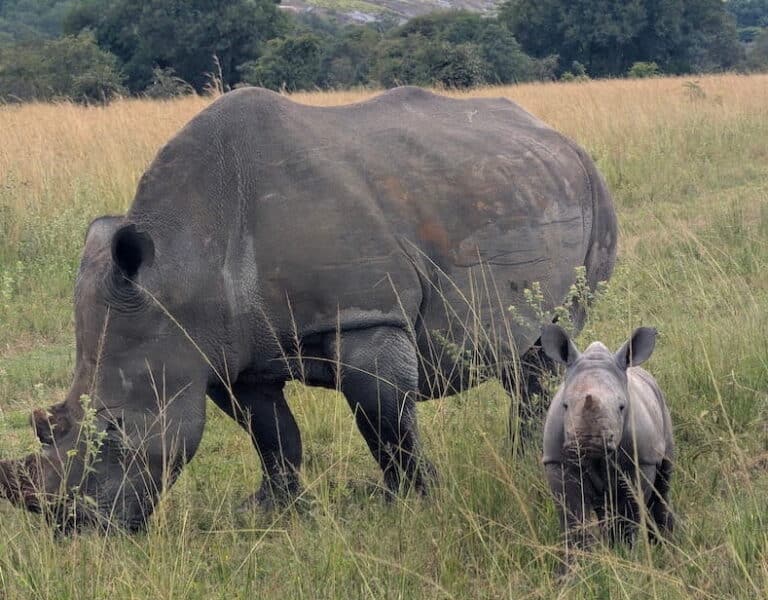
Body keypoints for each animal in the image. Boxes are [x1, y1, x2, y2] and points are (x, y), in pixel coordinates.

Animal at [0, 86, 616, 531]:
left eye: (116, 428)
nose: (77, 528)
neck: (184, 260)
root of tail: (556, 135)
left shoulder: (364, 316)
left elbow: (385, 422)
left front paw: (412, 502)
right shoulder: (227, 352)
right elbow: (272, 434)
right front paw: (270, 509)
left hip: (592, 191)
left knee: (550, 342)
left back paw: (531, 461)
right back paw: (520, 458)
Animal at [541, 325, 675, 560]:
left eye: (622, 407)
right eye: (565, 406)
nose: (589, 441)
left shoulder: (640, 462)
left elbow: (628, 516)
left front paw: (624, 555)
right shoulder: (558, 462)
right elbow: (573, 519)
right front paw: (575, 565)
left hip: (662, 409)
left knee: (662, 487)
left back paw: (662, 547)